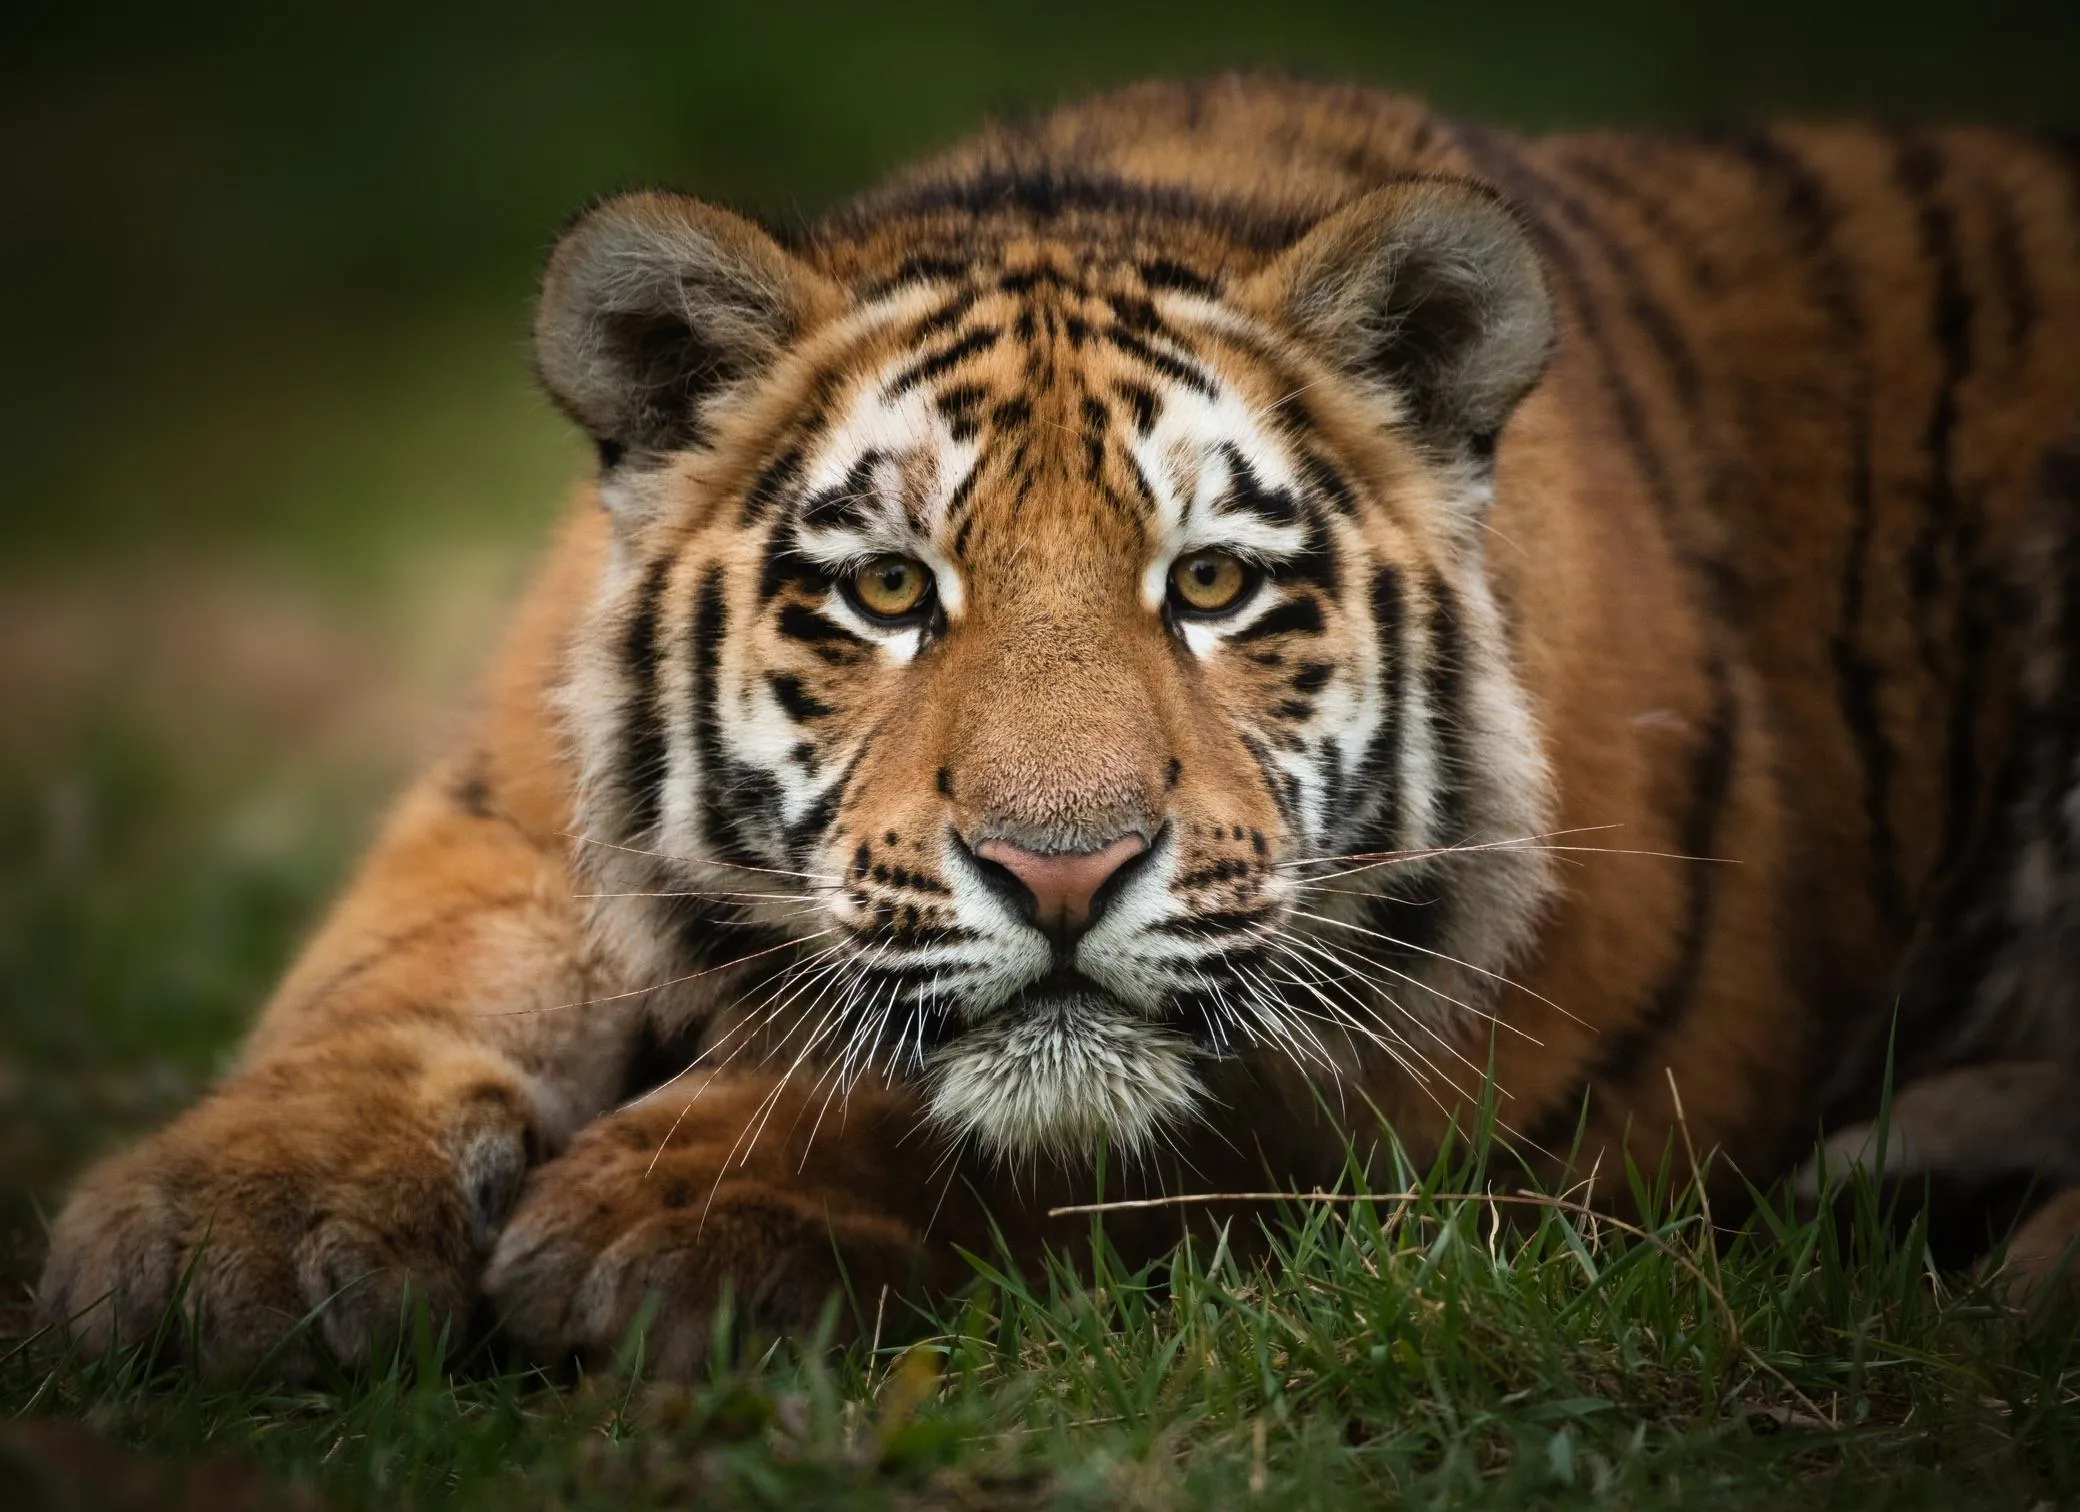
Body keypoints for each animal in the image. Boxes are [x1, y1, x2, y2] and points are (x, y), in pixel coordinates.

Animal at [35, 75, 2080, 1381]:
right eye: (886, 593)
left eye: (1214, 585)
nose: (1064, 870)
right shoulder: (510, 809)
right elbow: (381, 985)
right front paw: (224, 1233)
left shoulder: (1449, 1048)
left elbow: (1032, 1108)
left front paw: (673, 1214)